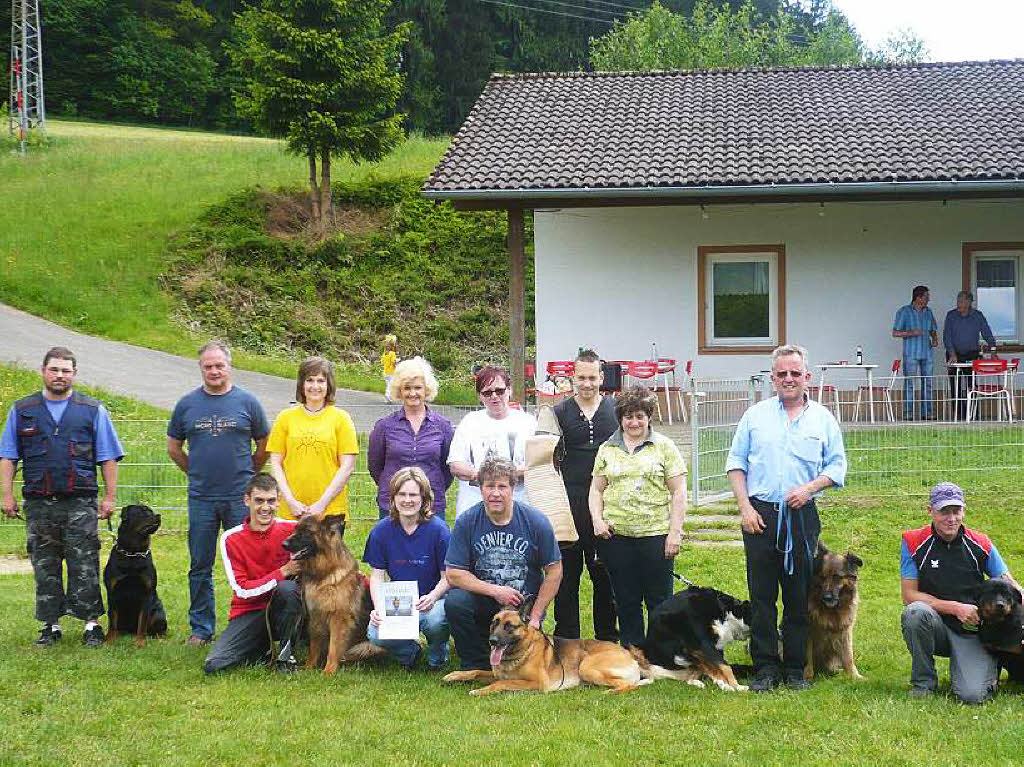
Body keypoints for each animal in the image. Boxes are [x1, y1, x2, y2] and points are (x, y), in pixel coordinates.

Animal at [103, 505, 165, 643]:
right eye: (142, 512)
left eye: (151, 511)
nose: (158, 515)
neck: (133, 552)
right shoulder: (112, 593)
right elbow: (112, 620)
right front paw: (109, 641)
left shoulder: (146, 594)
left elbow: (142, 622)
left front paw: (140, 643)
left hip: (158, 612)